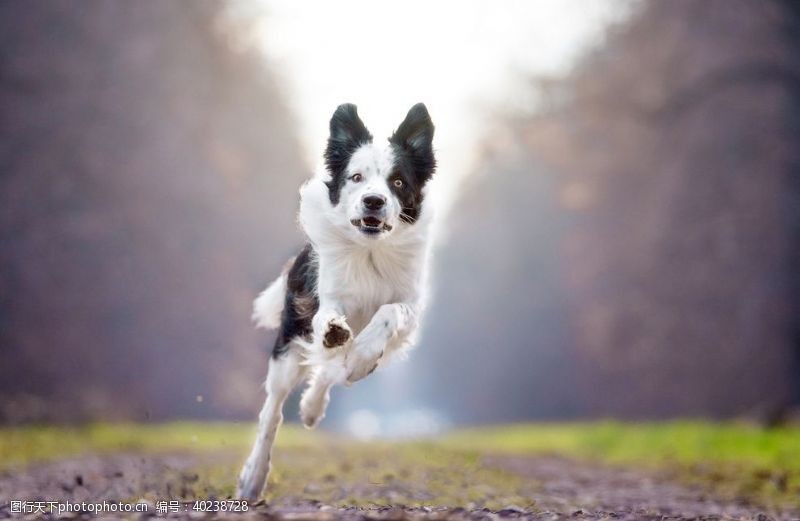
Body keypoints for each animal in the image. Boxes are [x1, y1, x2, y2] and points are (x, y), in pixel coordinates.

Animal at [238, 102, 438, 500]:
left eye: (397, 182)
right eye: (356, 177)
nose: (374, 201)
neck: (370, 251)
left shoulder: (409, 302)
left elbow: (388, 313)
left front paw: (362, 356)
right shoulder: (325, 297)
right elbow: (327, 322)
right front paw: (334, 331)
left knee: (333, 372)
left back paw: (316, 404)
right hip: (287, 348)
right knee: (273, 410)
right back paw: (253, 477)